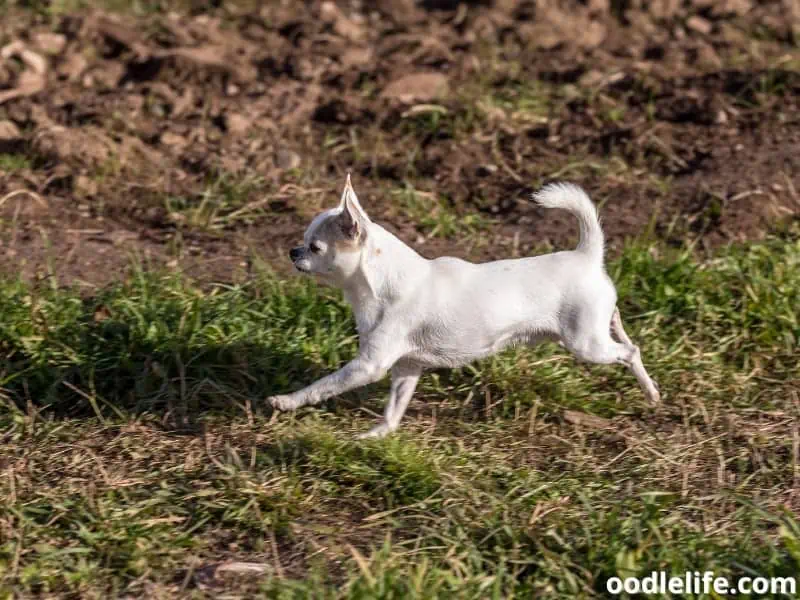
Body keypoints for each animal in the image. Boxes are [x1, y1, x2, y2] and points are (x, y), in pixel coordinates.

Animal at [272, 173, 660, 436]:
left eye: (315, 247)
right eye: (303, 241)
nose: (292, 251)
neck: (383, 285)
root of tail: (586, 255)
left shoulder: (368, 366)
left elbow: (322, 386)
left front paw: (287, 401)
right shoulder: (407, 368)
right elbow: (394, 409)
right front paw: (378, 436)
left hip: (585, 345)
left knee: (631, 352)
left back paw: (650, 391)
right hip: (594, 332)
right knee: (620, 330)